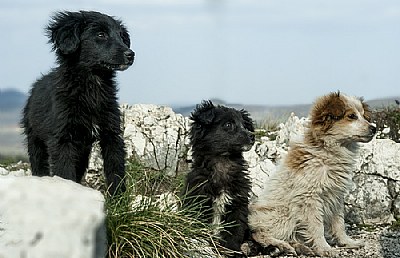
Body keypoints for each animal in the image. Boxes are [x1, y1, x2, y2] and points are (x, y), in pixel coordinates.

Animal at [21, 11, 134, 195]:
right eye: (101, 35)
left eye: (121, 36)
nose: (130, 54)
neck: (93, 85)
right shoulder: (62, 138)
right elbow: (65, 171)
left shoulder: (111, 133)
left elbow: (115, 167)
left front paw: (119, 197)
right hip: (34, 137)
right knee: (39, 164)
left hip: (82, 149)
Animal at [182, 100, 255, 256]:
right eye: (228, 125)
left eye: (244, 125)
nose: (253, 136)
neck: (222, 162)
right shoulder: (198, 202)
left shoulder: (238, 205)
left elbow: (234, 233)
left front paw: (232, 251)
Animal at [248, 91, 376, 256]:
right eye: (352, 116)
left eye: (363, 115)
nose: (374, 129)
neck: (327, 153)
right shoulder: (309, 198)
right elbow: (317, 227)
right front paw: (324, 248)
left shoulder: (336, 196)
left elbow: (339, 223)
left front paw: (347, 242)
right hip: (283, 214)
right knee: (259, 233)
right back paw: (282, 246)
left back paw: (300, 247)